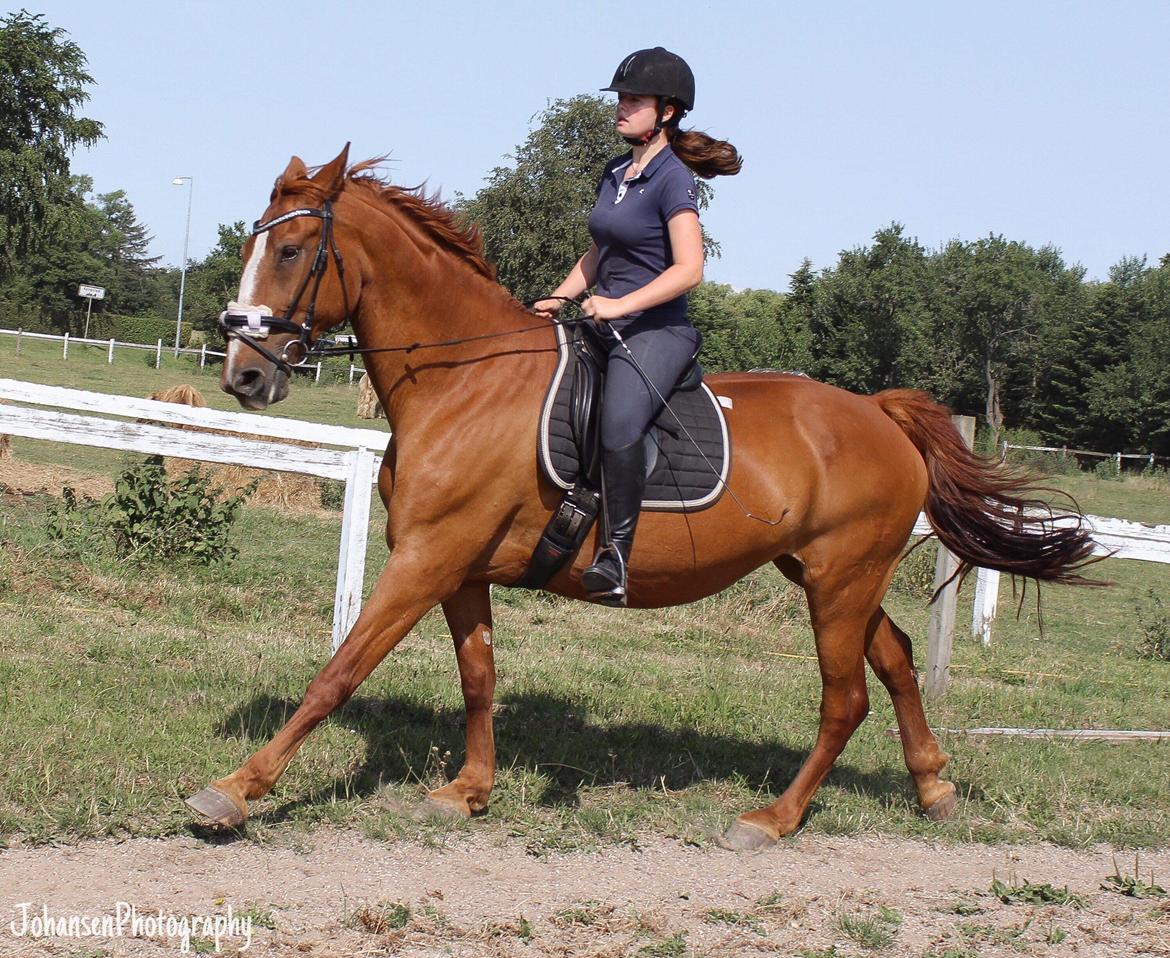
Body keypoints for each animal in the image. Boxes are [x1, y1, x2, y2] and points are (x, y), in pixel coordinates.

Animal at [184, 146, 1095, 851]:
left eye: (293, 251)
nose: (244, 376)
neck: (465, 381)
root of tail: (878, 412)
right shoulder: (460, 565)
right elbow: (479, 676)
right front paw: (468, 792)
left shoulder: (427, 558)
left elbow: (337, 674)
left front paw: (233, 791)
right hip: (833, 576)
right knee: (897, 662)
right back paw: (932, 789)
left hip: (841, 581)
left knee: (846, 698)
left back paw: (772, 820)